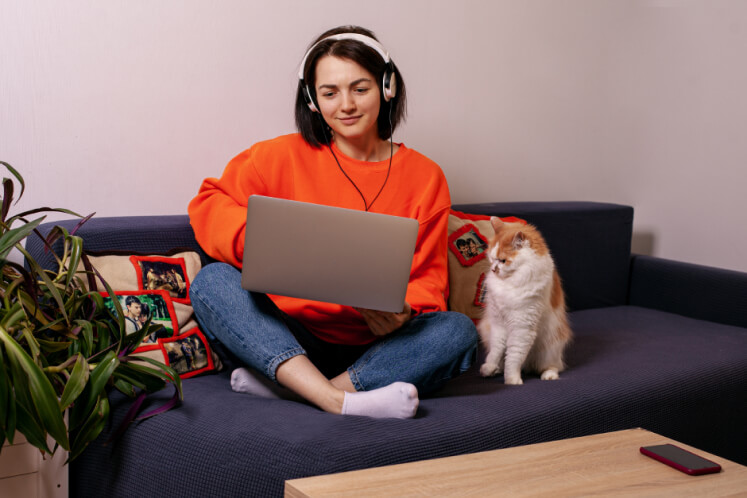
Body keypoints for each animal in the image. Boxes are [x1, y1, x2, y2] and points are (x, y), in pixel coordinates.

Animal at [480, 218, 572, 386]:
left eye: (503, 261)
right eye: (491, 258)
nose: (494, 270)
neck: (509, 283)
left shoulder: (522, 328)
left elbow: (513, 357)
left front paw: (512, 380)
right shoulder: (498, 324)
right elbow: (496, 351)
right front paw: (489, 367)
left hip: (550, 349)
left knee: (553, 366)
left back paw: (548, 375)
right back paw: (494, 370)